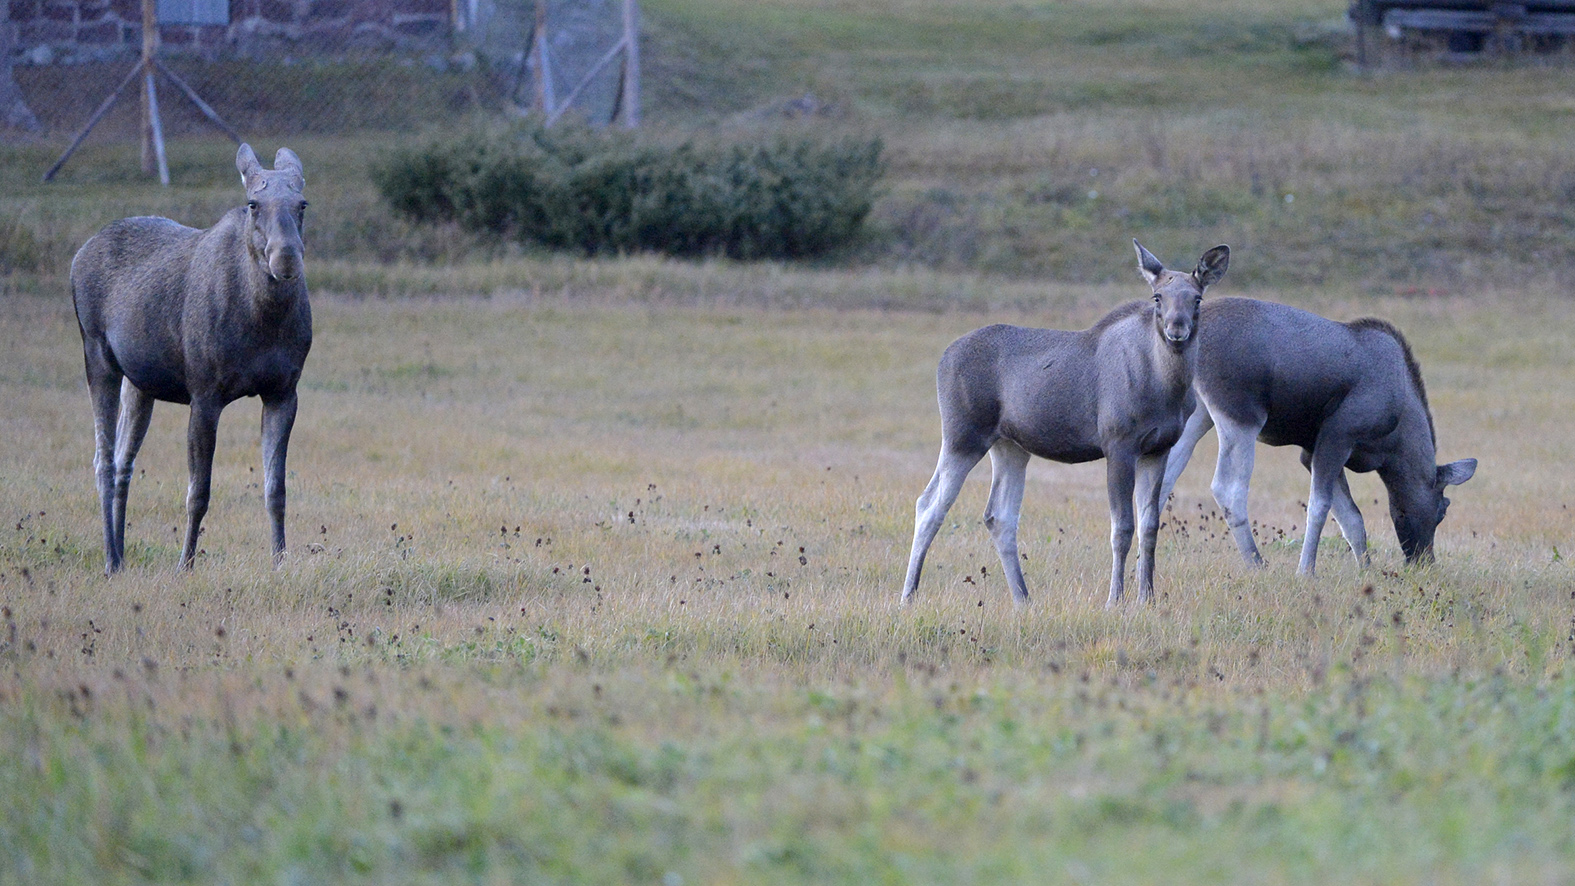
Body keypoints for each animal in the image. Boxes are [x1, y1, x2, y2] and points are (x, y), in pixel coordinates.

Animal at [71, 145, 310, 575]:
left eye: (302, 204)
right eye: (253, 204)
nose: (286, 258)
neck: (263, 320)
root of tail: (77, 255)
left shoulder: (284, 392)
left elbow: (276, 490)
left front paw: (280, 562)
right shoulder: (204, 393)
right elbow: (198, 492)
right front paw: (185, 564)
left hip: (140, 382)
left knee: (124, 461)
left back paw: (122, 553)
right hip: (97, 355)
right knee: (103, 460)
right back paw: (110, 559)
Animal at [900, 239, 1228, 607]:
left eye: (1197, 298)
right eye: (1157, 297)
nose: (1176, 331)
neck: (1166, 387)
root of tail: (943, 358)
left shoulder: (1159, 448)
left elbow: (1149, 526)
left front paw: (1147, 598)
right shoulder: (1118, 443)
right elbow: (1122, 527)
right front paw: (1114, 600)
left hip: (1010, 446)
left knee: (998, 515)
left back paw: (1023, 598)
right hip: (963, 435)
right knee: (929, 505)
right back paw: (908, 595)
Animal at [1159, 297, 1474, 575]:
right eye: (1443, 509)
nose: (1424, 562)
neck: (1393, 446)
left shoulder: (1311, 450)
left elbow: (1351, 517)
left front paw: (1366, 569)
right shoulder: (1337, 435)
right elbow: (1321, 507)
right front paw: (1306, 571)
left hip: (1198, 414)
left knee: (1163, 479)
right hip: (1240, 415)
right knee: (1227, 490)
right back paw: (1257, 564)